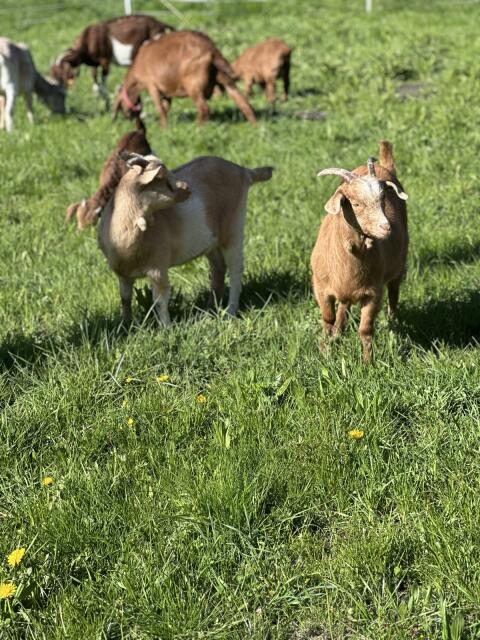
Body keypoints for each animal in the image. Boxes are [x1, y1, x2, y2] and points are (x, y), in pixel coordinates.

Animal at [97, 153, 273, 325]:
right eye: (163, 180)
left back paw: (230, 312)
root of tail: (243, 171)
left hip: (233, 231)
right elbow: (125, 299)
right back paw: (210, 308)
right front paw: (126, 326)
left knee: (235, 270)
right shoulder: (123, 274)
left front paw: (166, 327)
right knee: (218, 268)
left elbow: (160, 300)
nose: (187, 189)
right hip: (211, 242)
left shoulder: (158, 267)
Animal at [112, 30, 256, 126]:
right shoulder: (166, 93)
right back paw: (255, 126)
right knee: (244, 103)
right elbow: (166, 108)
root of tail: (210, 48)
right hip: (225, 79)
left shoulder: (152, 86)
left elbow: (160, 109)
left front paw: (164, 128)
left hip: (193, 85)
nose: (128, 117)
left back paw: (197, 128)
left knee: (204, 109)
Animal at [311, 140, 408, 362]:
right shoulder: (320, 287)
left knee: (394, 294)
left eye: (383, 199)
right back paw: (338, 332)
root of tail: (384, 166)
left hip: (399, 267)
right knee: (343, 306)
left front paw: (367, 362)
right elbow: (327, 319)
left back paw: (392, 324)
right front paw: (324, 353)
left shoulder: (373, 292)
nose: (386, 228)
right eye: (355, 203)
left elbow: (365, 329)